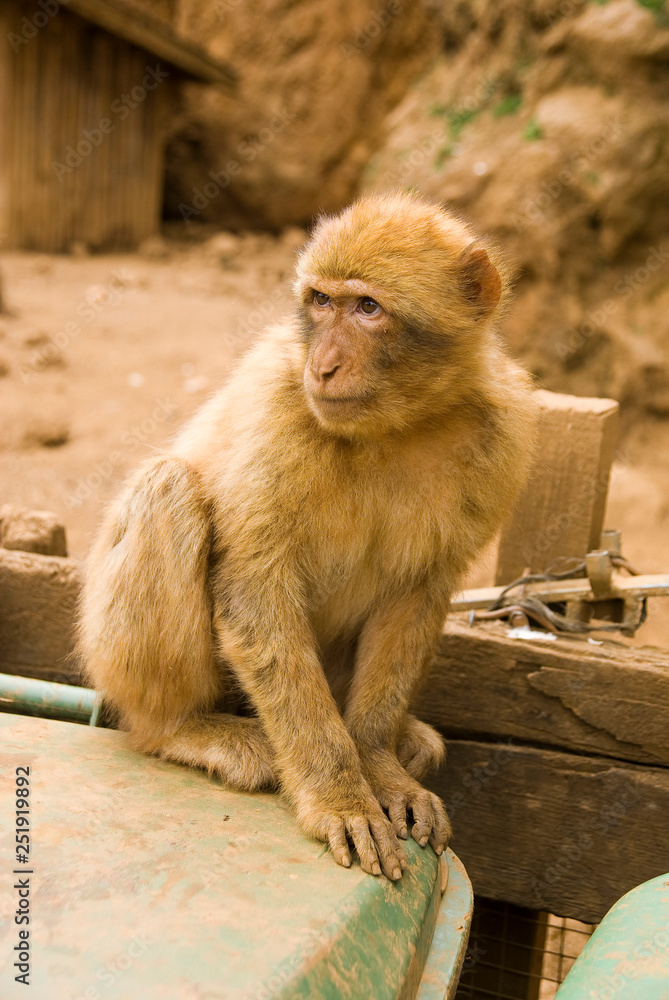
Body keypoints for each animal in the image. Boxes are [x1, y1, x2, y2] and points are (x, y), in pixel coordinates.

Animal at [80, 191, 537, 882]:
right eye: (321, 301)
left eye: (368, 307)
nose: (322, 366)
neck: (395, 425)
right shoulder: (279, 402)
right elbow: (255, 591)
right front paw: (339, 793)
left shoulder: (502, 434)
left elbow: (416, 597)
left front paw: (377, 763)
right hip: (112, 656)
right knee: (169, 489)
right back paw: (181, 727)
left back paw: (405, 741)